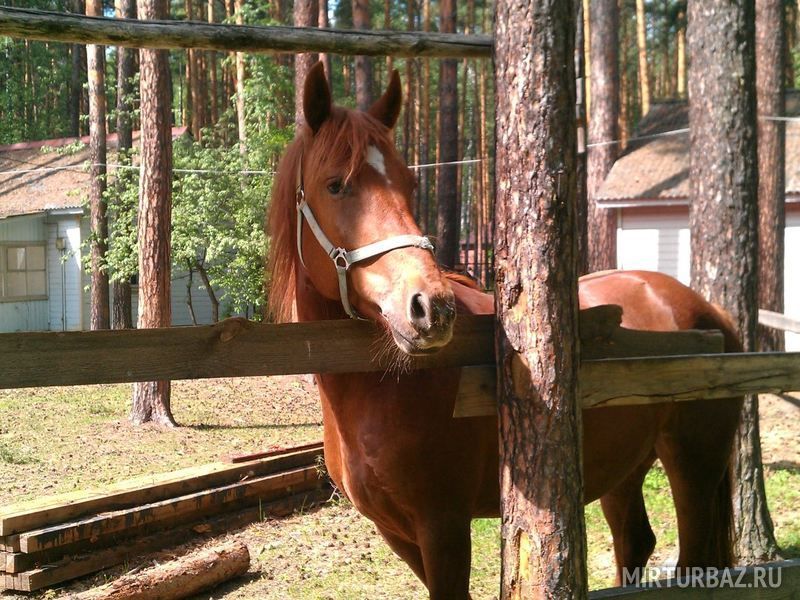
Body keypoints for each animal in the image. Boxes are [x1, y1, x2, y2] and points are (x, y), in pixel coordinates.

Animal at [270, 63, 744, 596]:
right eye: (335, 185)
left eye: (409, 184)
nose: (431, 307)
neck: (376, 391)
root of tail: (710, 312)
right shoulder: (398, 533)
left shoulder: (444, 525)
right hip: (622, 468)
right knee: (635, 542)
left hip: (694, 467)